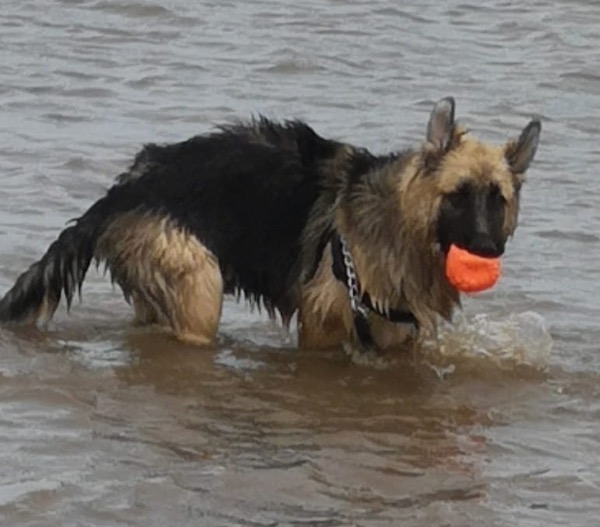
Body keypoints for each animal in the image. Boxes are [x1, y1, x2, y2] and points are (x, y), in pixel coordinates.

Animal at [0, 98, 540, 354]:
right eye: (458, 196)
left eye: (497, 200)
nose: (487, 248)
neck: (398, 219)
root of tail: (125, 188)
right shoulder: (323, 324)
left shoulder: (397, 336)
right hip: (200, 292)